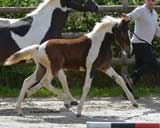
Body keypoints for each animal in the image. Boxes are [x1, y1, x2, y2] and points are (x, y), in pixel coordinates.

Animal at [5, 15, 138, 116]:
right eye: (123, 31)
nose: (129, 49)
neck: (100, 43)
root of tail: (38, 47)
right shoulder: (92, 68)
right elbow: (86, 87)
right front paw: (79, 111)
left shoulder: (105, 66)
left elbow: (120, 79)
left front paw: (134, 103)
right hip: (53, 68)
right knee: (45, 82)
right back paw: (68, 100)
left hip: (42, 68)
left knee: (27, 81)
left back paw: (19, 110)